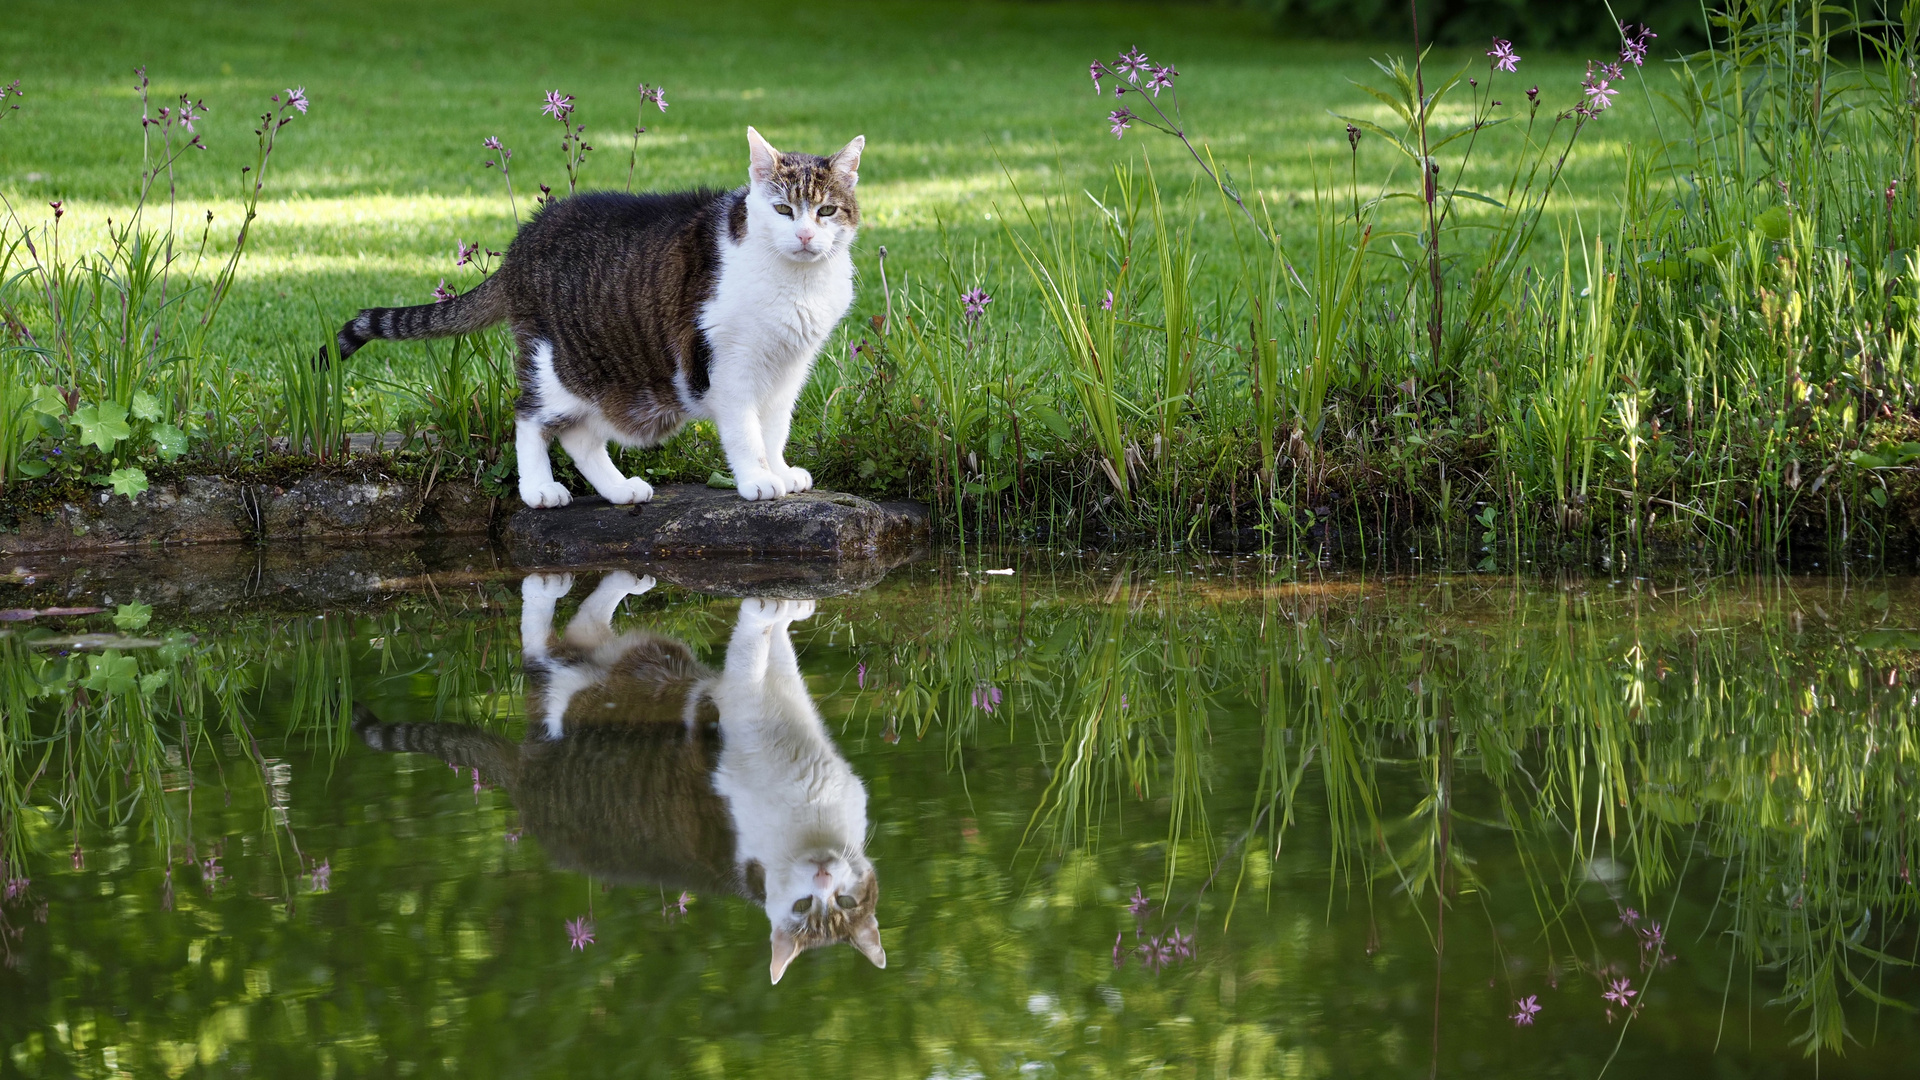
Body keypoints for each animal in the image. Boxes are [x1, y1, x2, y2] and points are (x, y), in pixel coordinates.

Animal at [322, 127, 864, 507]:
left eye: (827, 211)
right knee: (529, 417)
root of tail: (523, 240)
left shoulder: (788, 368)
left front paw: (781, 471)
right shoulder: (727, 366)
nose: (805, 237)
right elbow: (746, 433)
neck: (798, 283)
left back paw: (619, 489)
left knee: (579, 436)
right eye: (782, 210)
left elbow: (775, 428)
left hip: (607, 377)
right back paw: (539, 490)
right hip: (557, 363)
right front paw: (757, 479)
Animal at [355, 572, 883, 983]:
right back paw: (550, 587)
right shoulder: (740, 698)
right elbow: (754, 648)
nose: (822, 875)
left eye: (845, 901)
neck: (811, 822)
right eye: (803, 908)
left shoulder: (785, 702)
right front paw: (771, 608)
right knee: (539, 652)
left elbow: (779, 656)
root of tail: (528, 791)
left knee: (583, 629)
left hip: (634, 657)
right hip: (574, 693)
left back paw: (624, 582)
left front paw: (791, 608)